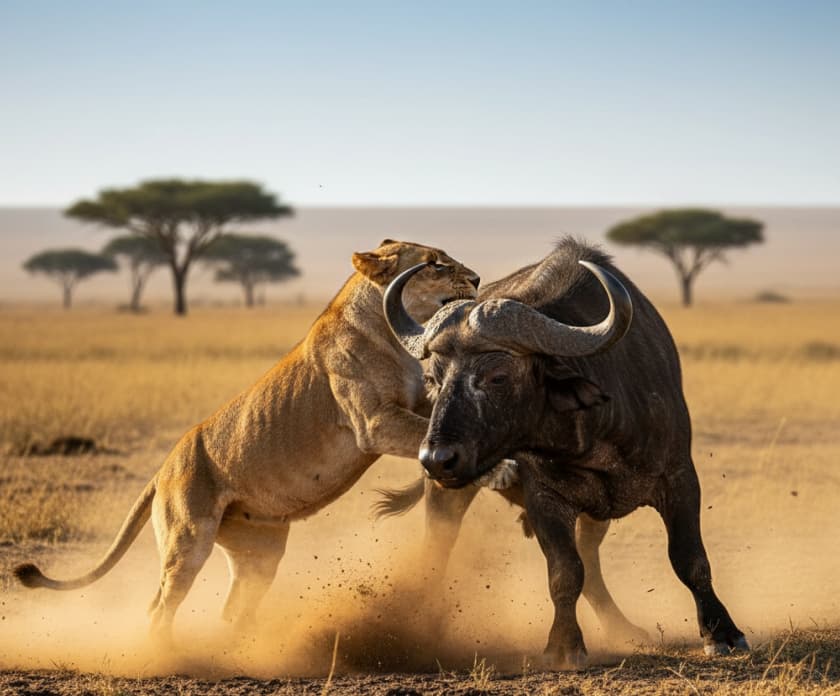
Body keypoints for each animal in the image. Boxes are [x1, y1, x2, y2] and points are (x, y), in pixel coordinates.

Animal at [13, 239, 480, 641]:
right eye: (435, 263)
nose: (476, 279)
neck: (392, 332)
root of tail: (163, 469)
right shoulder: (375, 422)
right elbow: (420, 432)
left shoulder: (419, 402)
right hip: (188, 539)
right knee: (160, 606)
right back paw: (167, 656)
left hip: (259, 552)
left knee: (232, 608)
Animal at [382, 238, 748, 668]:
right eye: (433, 378)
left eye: (497, 376)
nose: (436, 459)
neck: (590, 435)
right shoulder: (545, 499)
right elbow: (565, 572)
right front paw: (564, 644)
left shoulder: (679, 478)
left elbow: (689, 559)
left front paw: (721, 632)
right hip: (446, 494)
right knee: (437, 551)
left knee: (593, 561)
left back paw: (623, 628)